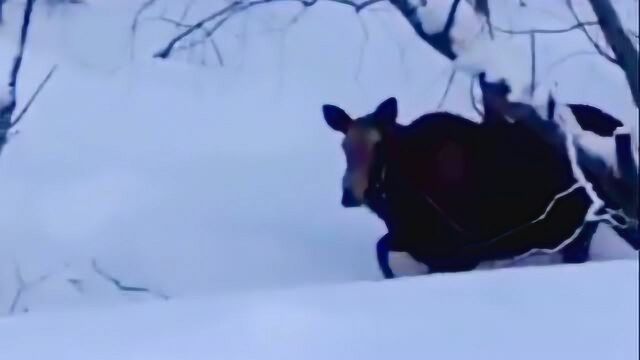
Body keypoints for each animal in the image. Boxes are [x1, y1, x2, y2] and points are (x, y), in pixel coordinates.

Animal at [322, 96, 636, 278]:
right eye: (344, 147)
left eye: (377, 146)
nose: (349, 194)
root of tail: (618, 122)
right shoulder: (418, 243)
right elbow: (382, 248)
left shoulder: (458, 252)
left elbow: (383, 250)